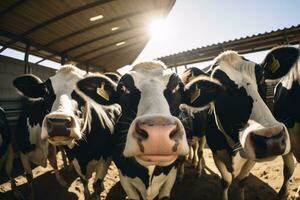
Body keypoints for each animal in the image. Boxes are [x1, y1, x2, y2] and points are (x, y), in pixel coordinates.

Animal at [12, 65, 120, 198]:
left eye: (82, 91)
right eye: (46, 91)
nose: (58, 124)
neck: (84, 150)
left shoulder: (106, 159)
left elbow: (97, 186)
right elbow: (84, 182)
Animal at [180, 46, 300, 199]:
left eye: (262, 77)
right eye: (217, 86)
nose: (271, 140)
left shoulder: (250, 160)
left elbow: (242, 180)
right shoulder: (216, 152)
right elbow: (225, 181)